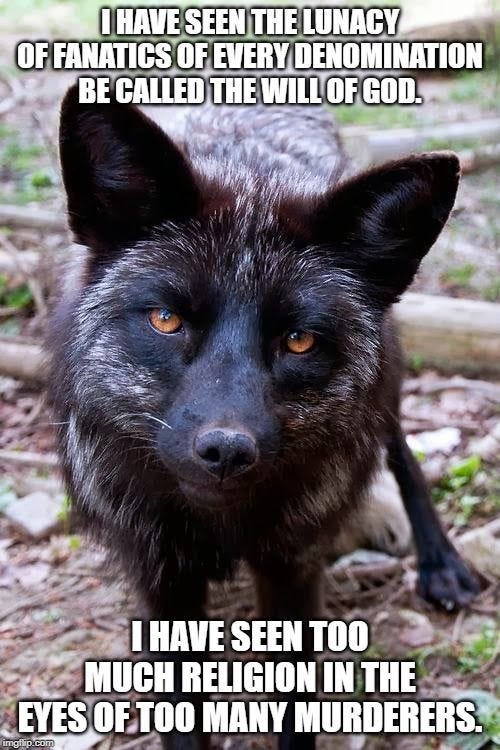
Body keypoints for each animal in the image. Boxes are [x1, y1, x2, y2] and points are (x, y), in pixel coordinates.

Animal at [49, 85, 479, 749]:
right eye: (166, 320)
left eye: (299, 340)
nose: (226, 450)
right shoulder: (160, 579)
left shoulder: (293, 568)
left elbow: (296, 713)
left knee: (400, 447)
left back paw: (442, 564)